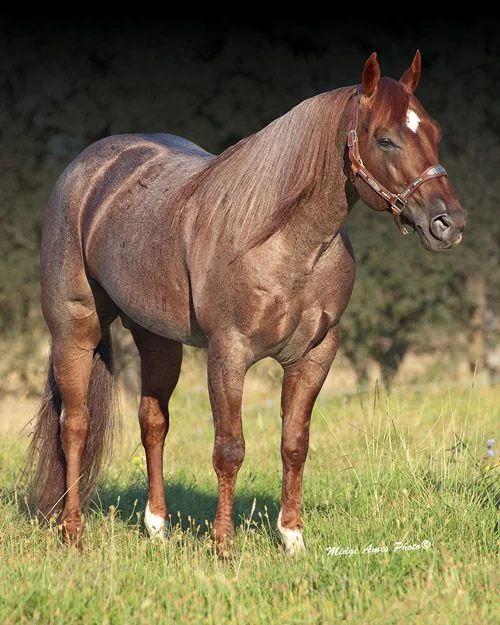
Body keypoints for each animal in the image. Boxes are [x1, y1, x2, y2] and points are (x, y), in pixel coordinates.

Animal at [26, 51, 466, 555]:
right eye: (385, 138)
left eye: (434, 131)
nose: (448, 223)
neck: (286, 243)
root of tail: (88, 168)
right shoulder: (229, 353)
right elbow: (229, 449)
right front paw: (223, 544)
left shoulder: (315, 356)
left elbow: (295, 443)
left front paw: (292, 538)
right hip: (75, 329)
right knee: (75, 425)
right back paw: (73, 531)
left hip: (157, 339)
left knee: (153, 422)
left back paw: (157, 526)